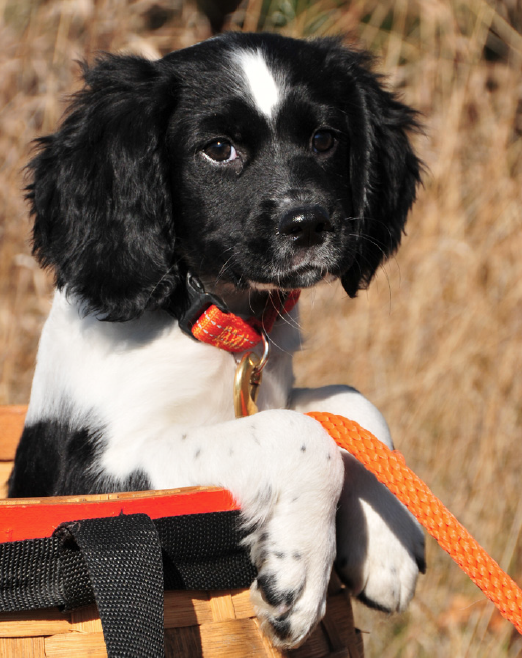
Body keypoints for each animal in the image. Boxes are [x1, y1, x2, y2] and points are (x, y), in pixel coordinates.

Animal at [9, 33, 422, 644]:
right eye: (219, 149)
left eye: (324, 139)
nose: (309, 224)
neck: (206, 322)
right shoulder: (94, 480)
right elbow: (300, 435)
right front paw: (300, 572)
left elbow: (350, 404)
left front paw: (390, 548)